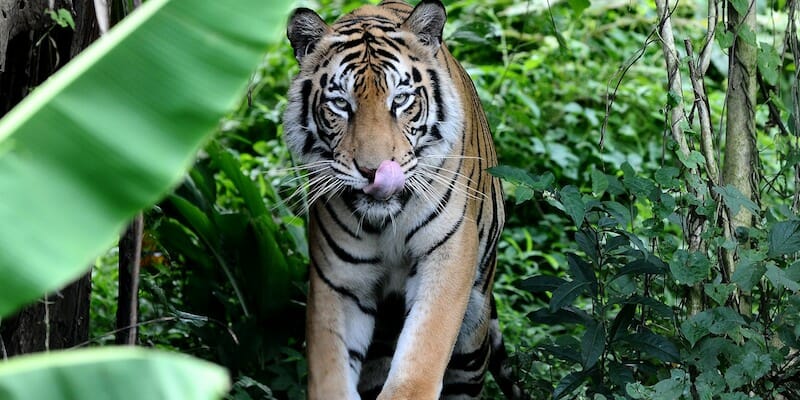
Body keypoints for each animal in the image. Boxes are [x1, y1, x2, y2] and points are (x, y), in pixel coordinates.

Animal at [282, 0, 524, 400]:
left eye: (401, 100)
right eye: (340, 104)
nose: (374, 171)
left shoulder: (447, 256)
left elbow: (420, 361)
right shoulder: (339, 282)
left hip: (472, 336)